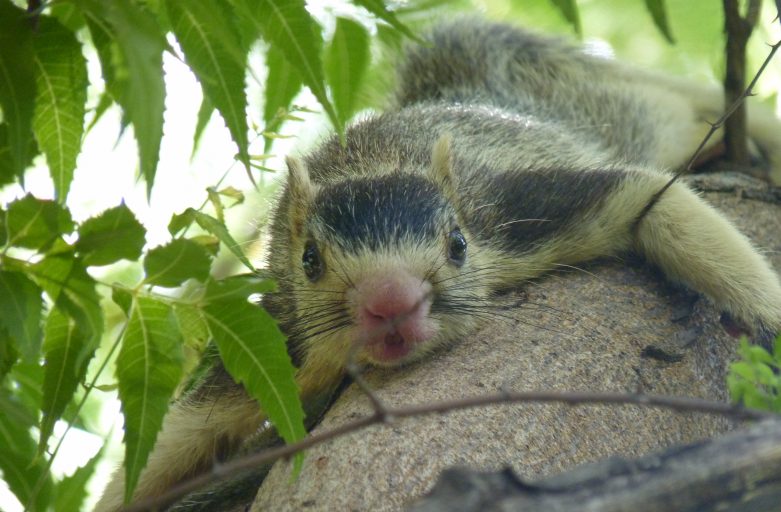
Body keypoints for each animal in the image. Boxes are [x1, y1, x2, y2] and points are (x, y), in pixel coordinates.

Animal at [96, 18, 780, 510]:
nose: (391, 302)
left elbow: (647, 198)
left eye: (458, 245)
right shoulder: (275, 345)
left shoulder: (516, 218)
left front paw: (769, 317)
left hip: (623, 105)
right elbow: (171, 443)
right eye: (309, 259)